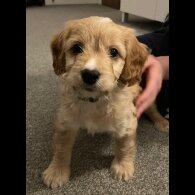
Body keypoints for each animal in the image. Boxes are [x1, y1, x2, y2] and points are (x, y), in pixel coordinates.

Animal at [42, 17, 168, 189]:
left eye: (113, 52)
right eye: (77, 48)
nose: (89, 74)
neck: (95, 100)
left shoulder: (126, 122)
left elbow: (125, 146)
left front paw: (122, 167)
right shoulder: (65, 121)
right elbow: (61, 148)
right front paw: (57, 171)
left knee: (153, 109)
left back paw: (162, 122)